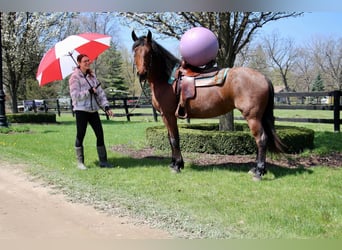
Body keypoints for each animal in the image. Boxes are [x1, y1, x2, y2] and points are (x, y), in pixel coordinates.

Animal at [131, 30, 284, 181]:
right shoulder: (165, 116)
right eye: (135, 52)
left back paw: (258, 172)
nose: (141, 74)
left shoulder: (168, 115)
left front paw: (177, 166)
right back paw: (256, 169)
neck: (168, 80)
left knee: (261, 139)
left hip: (252, 117)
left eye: (149, 53)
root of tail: (263, 77)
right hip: (258, 117)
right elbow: (170, 138)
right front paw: (174, 163)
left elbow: (174, 139)